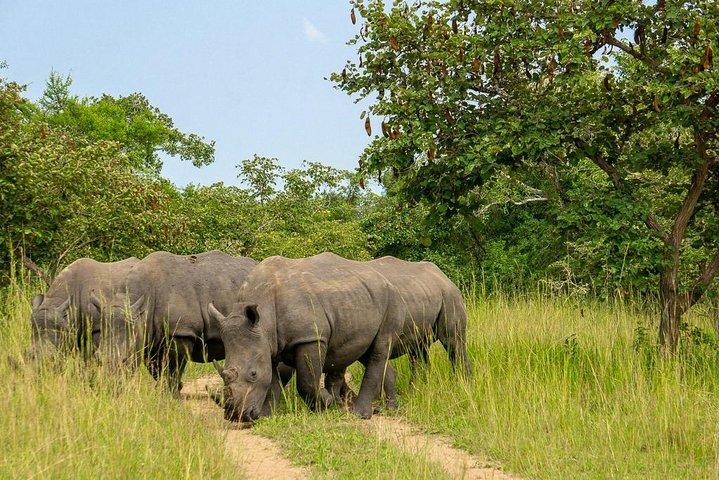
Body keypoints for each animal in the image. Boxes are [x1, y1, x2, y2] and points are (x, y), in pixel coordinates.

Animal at [209, 252, 470, 421]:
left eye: (252, 374)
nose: (237, 417)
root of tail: (443, 276)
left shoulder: (310, 337)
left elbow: (306, 382)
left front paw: (326, 403)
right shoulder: (270, 342)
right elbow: (273, 378)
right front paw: (265, 415)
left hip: (421, 298)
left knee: (447, 342)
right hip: (367, 300)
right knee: (395, 350)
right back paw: (393, 405)